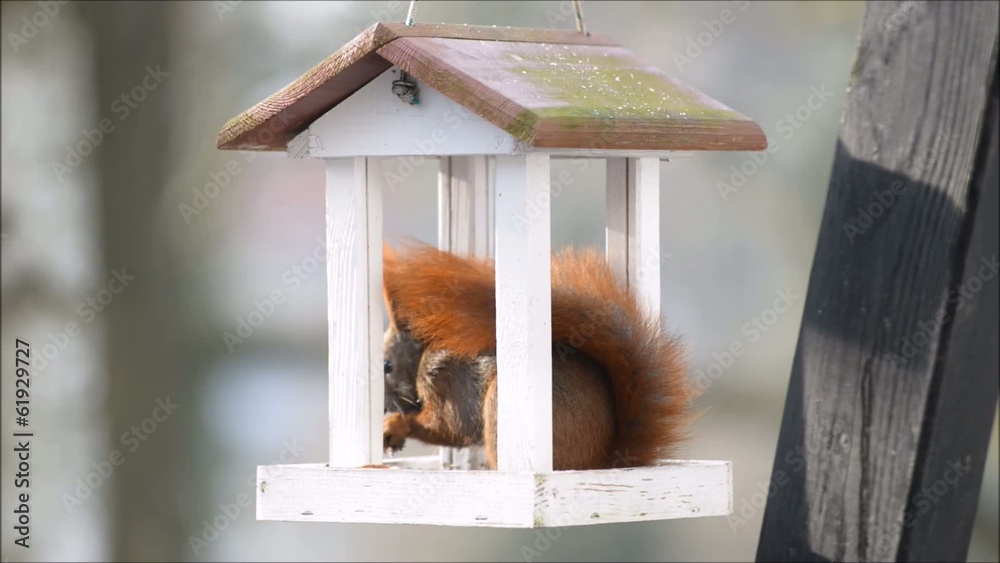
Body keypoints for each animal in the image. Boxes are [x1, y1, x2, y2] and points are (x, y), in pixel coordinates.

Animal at [381, 242, 697, 470]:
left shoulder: (447, 378)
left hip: (501, 404)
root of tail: (600, 461)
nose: (382, 406)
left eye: (386, 365)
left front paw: (395, 425)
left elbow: (451, 428)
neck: (425, 352)